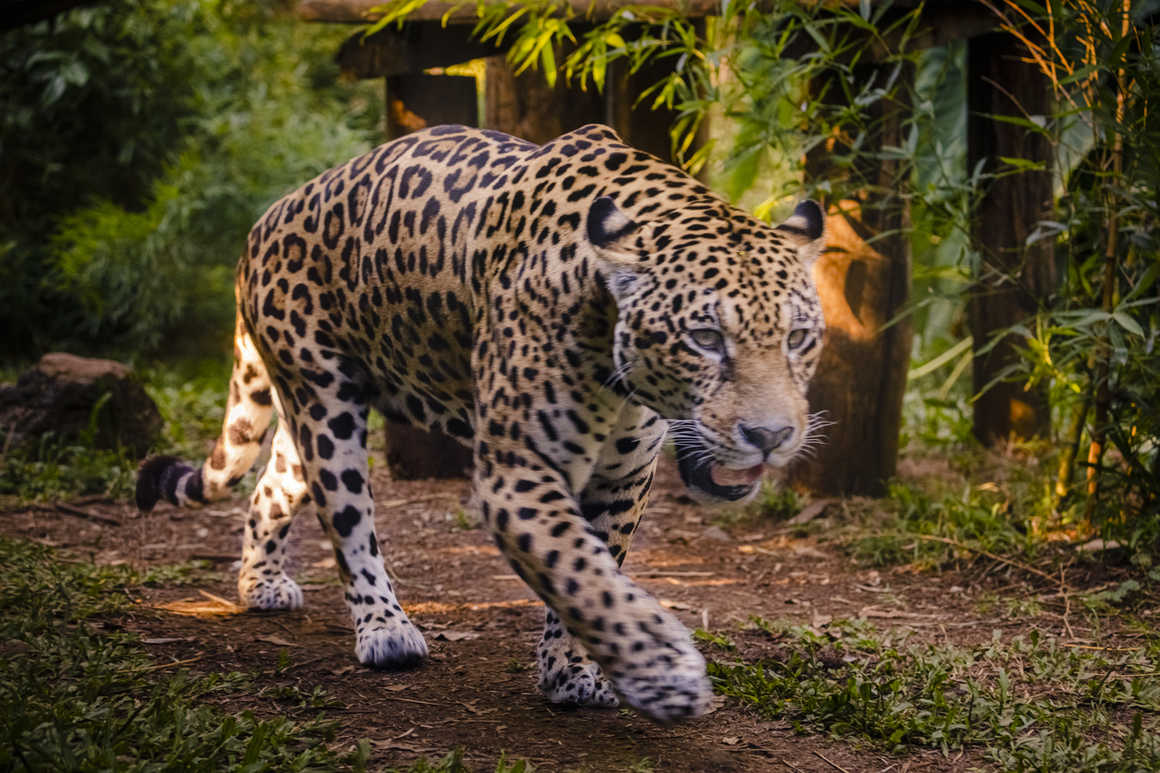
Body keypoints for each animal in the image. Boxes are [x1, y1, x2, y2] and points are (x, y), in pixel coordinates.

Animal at [136, 123, 826, 722]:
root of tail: (265, 220)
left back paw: (262, 584)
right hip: (325, 405)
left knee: (272, 488)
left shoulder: (623, 478)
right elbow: (581, 569)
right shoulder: (516, 470)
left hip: (304, 417)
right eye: (706, 338)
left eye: (797, 337)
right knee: (349, 520)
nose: (770, 436)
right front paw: (662, 670)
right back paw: (386, 631)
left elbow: (598, 565)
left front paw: (572, 672)